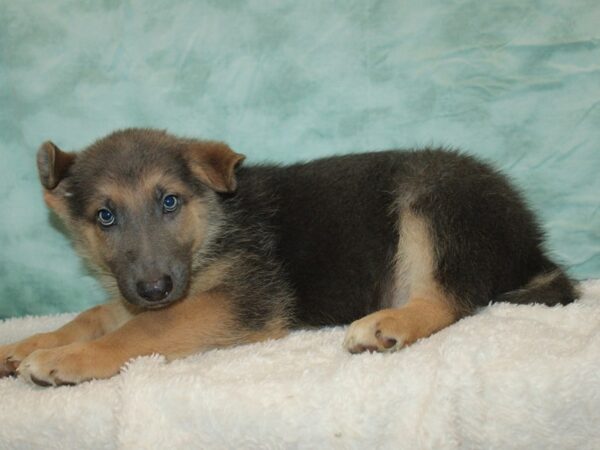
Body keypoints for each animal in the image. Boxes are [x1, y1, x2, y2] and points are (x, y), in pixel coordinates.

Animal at [0, 128, 576, 384]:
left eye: (169, 202)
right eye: (105, 216)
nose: (156, 288)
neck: (215, 223)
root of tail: (532, 240)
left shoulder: (239, 300)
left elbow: (143, 329)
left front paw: (66, 358)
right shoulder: (138, 292)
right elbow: (93, 314)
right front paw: (28, 342)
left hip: (434, 197)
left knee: (451, 298)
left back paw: (387, 324)